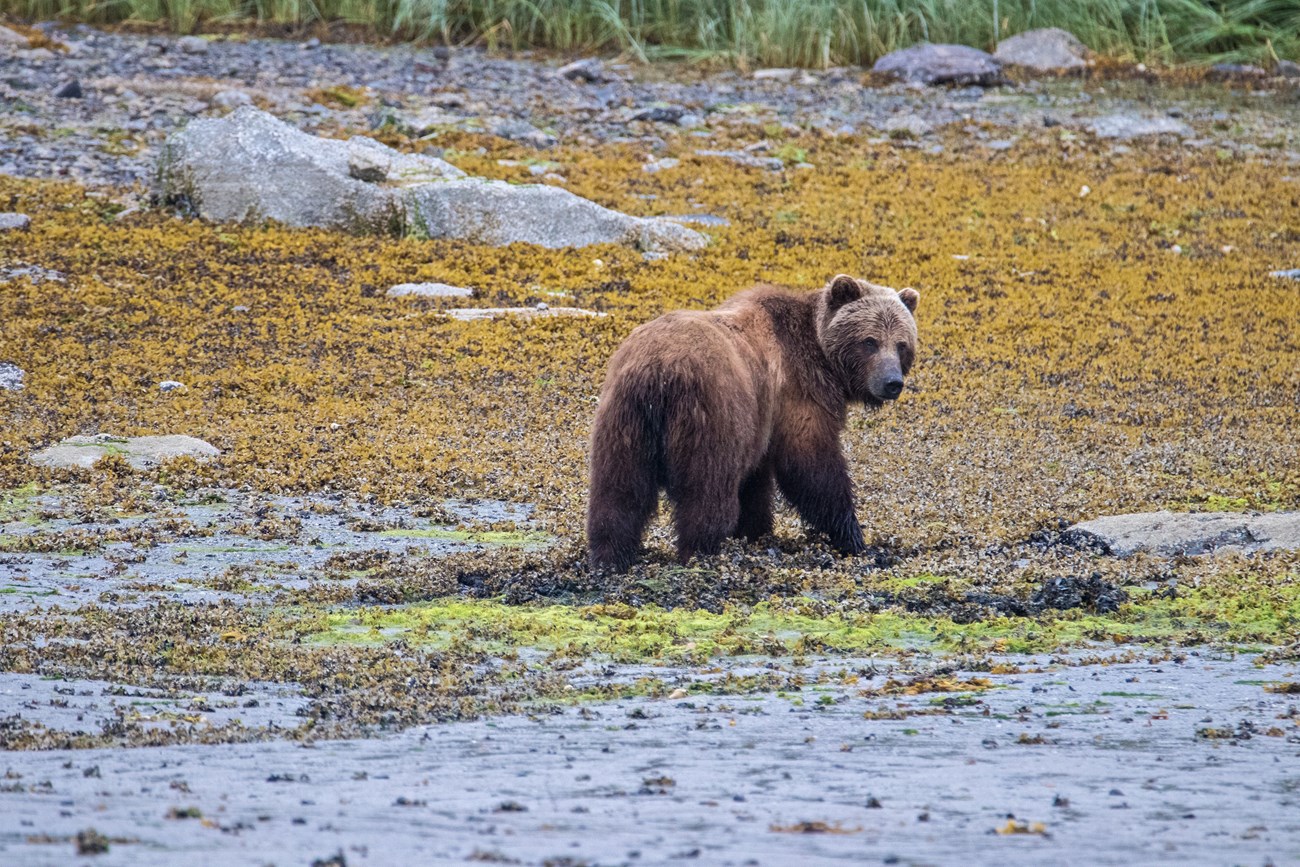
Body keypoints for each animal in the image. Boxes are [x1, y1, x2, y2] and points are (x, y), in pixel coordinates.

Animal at [585, 274, 920, 571]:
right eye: (870, 341)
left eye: (901, 344)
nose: (892, 383)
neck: (821, 354)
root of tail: (659, 370)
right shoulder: (797, 393)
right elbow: (812, 465)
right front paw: (852, 536)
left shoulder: (763, 419)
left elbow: (756, 482)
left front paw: (754, 530)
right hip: (711, 413)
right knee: (706, 491)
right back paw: (700, 551)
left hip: (625, 419)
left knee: (619, 490)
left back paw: (611, 556)